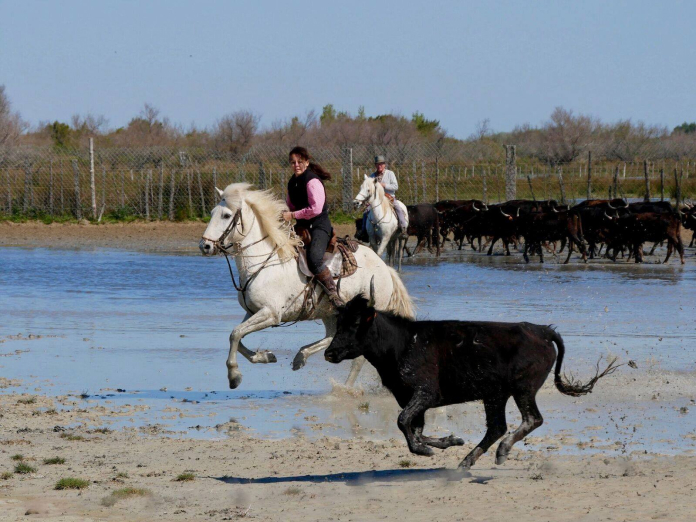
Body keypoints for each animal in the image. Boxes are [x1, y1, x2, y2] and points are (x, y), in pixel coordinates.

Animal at [198, 181, 414, 388]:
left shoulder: (271, 314)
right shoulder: (253, 312)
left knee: (359, 357)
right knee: (331, 336)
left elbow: (235, 334)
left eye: (226, 215)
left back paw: (345, 387)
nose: (205, 246)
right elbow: (238, 336)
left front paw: (234, 375)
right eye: (212, 213)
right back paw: (301, 356)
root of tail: (385, 269)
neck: (263, 263)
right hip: (331, 313)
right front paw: (265, 356)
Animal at [324, 294, 616, 470]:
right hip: (495, 395)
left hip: (523, 389)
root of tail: (541, 331)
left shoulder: (424, 393)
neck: (404, 343)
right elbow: (413, 428)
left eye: (356, 324)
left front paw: (426, 450)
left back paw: (502, 451)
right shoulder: (408, 397)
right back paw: (467, 460)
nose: (329, 353)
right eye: (339, 323)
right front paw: (449, 441)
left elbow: (403, 422)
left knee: (531, 419)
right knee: (497, 427)